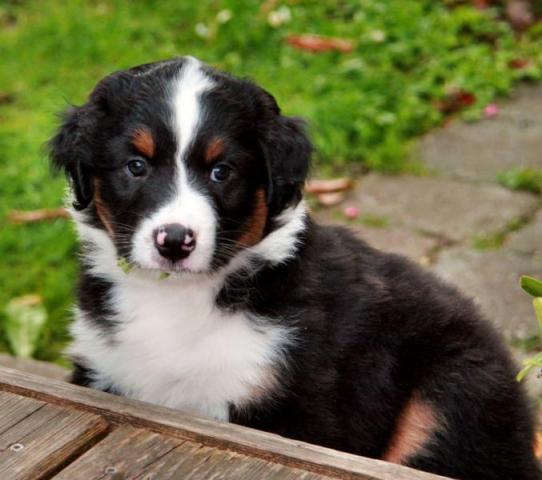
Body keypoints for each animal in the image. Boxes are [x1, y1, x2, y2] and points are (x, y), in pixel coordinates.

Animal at [49, 57, 539, 479]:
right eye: (136, 166)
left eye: (222, 172)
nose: (174, 241)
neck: (177, 298)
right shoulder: (106, 371)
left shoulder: (294, 404)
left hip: (449, 394)